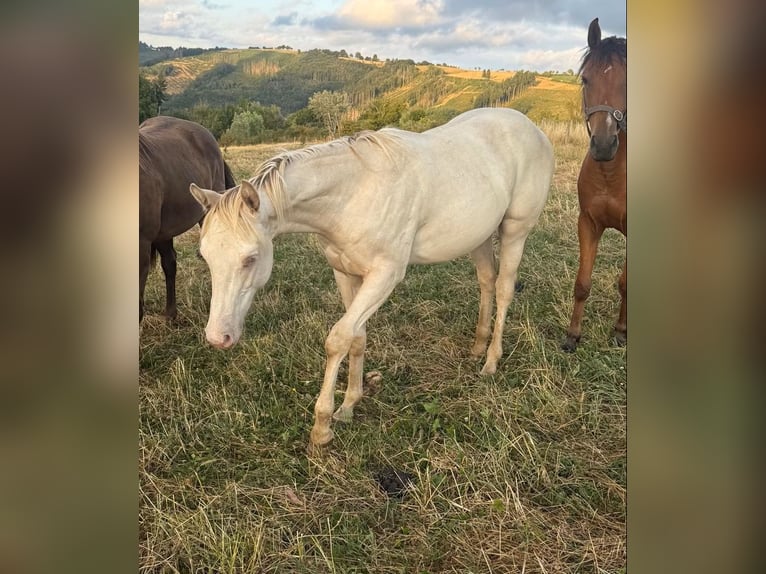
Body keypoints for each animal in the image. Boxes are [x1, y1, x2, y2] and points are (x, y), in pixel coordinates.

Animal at [190, 107, 554, 447]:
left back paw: (491, 361)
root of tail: (531, 127)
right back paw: (478, 346)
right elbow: (356, 338)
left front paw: (322, 427)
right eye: (205, 256)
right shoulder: (345, 273)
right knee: (486, 281)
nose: (218, 337)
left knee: (504, 288)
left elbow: (338, 339)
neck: (352, 194)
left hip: (515, 231)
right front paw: (350, 404)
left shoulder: (384, 276)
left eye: (250, 258)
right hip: (478, 236)